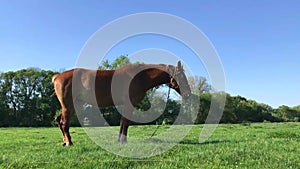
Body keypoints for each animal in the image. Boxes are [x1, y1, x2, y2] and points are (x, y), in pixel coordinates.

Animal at [52, 60, 191, 145]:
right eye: (182, 76)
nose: (188, 94)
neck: (140, 77)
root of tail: (57, 76)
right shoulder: (129, 104)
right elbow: (126, 122)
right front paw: (123, 141)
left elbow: (123, 122)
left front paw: (120, 140)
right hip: (68, 106)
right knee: (64, 123)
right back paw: (69, 142)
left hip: (74, 106)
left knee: (59, 120)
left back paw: (64, 141)